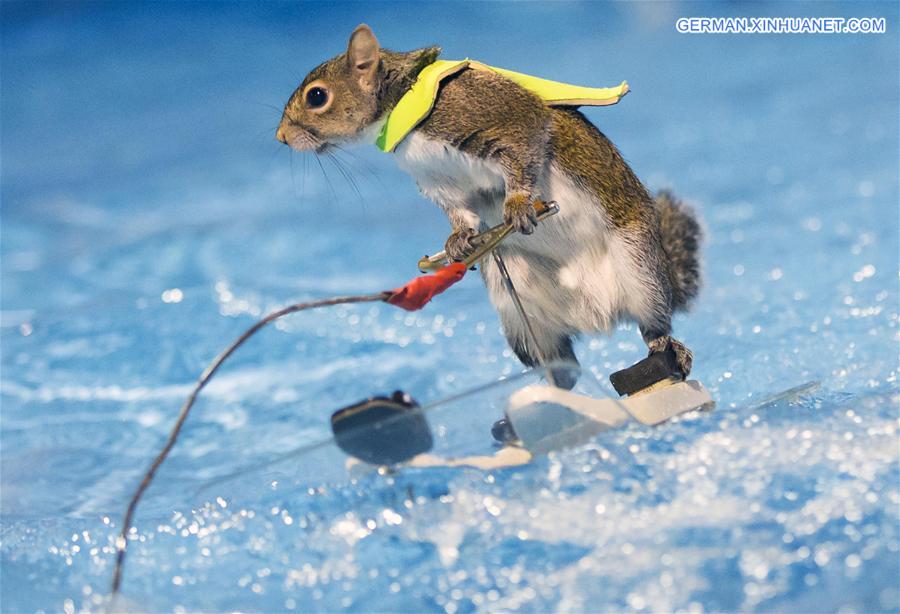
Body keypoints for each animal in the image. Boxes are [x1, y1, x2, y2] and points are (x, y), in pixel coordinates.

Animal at [276, 24, 702, 390]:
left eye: (317, 96)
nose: (281, 137)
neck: (403, 105)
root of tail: (597, 315)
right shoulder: (440, 181)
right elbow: (459, 210)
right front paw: (458, 239)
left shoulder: (496, 116)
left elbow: (527, 142)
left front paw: (517, 206)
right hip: (517, 313)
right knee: (562, 362)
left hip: (640, 270)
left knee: (654, 325)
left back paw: (668, 351)